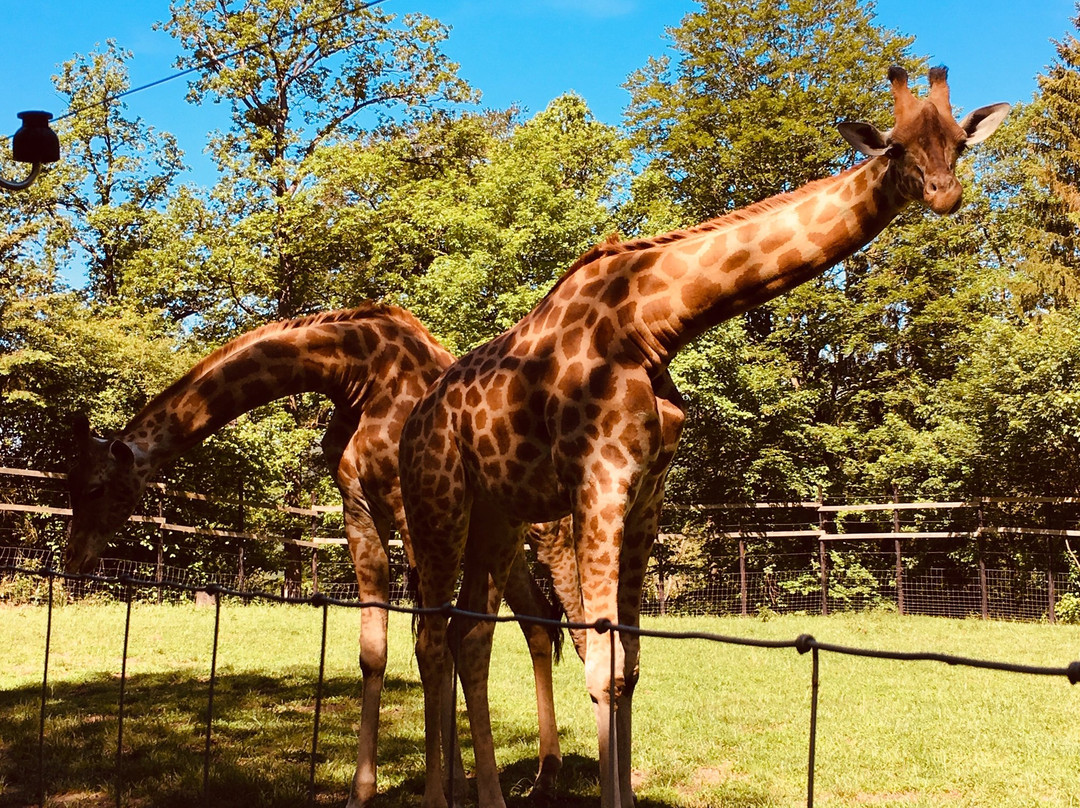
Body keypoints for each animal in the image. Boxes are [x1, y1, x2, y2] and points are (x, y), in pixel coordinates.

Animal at [60, 302, 583, 808]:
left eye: (95, 488)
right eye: (69, 483)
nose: (73, 562)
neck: (358, 373)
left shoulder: (409, 507)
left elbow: (430, 645)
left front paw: (445, 786)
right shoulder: (359, 507)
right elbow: (376, 650)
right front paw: (363, 791)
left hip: (548, 537)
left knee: (575, 625)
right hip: (501, 546)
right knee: (538, 623)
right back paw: (544, 777)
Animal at [399, 67, 1010, 808]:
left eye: (958, 143)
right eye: (895, 147)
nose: (945, 193)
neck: (653, 322)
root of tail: (414, 422)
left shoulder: (647, 490)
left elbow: (629, 661)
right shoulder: (599, 479)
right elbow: (601, 662)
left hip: (498, 517)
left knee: (468, 636)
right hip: (438, 505)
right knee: (431, 636)